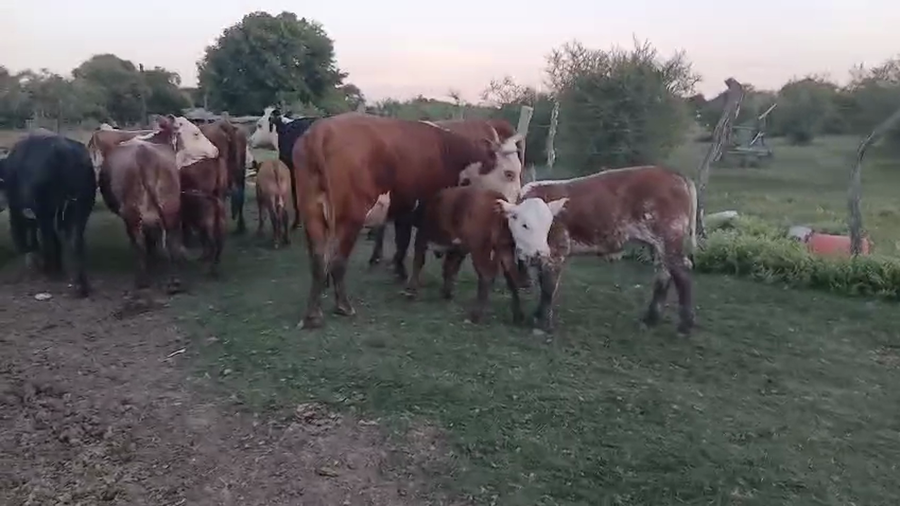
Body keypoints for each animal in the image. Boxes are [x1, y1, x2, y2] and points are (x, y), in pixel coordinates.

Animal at [2, 131, 97, 297]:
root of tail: (66, 154)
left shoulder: (19, 209)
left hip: (45, 210)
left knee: (48, 238)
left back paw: (49, 269)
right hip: (82, 206)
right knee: (75, 240)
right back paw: (80, 285)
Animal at [98, 116, 219, 292]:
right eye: (196, 133)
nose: (216, 150)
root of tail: (143, 154)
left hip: (132, 212)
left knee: (141, 242)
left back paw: (143, 280)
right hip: (169, 206)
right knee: (170, 239)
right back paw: (174, 281)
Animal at [403, 186, 527, 324]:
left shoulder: (422, 237)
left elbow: (419, 262)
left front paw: (411, 291)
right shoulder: (457, 249)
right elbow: (449, 268)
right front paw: (447, 292)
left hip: (479, 249)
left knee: (486, 275)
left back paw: (476, 315)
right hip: (505, 248)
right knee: (512, 275)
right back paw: (518, 315)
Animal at [509, 165, 699, 335]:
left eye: (548, 225)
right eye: (525, 225)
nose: (539, 251)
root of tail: (674, 174)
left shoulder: (556, 249)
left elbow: (548, 286)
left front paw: (542, 324)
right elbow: (543, 282)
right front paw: (537, 316)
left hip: (670, 236)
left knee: (682, 275)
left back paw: (685, 325)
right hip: (659, 245)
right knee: (664, 275)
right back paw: (650, 319)